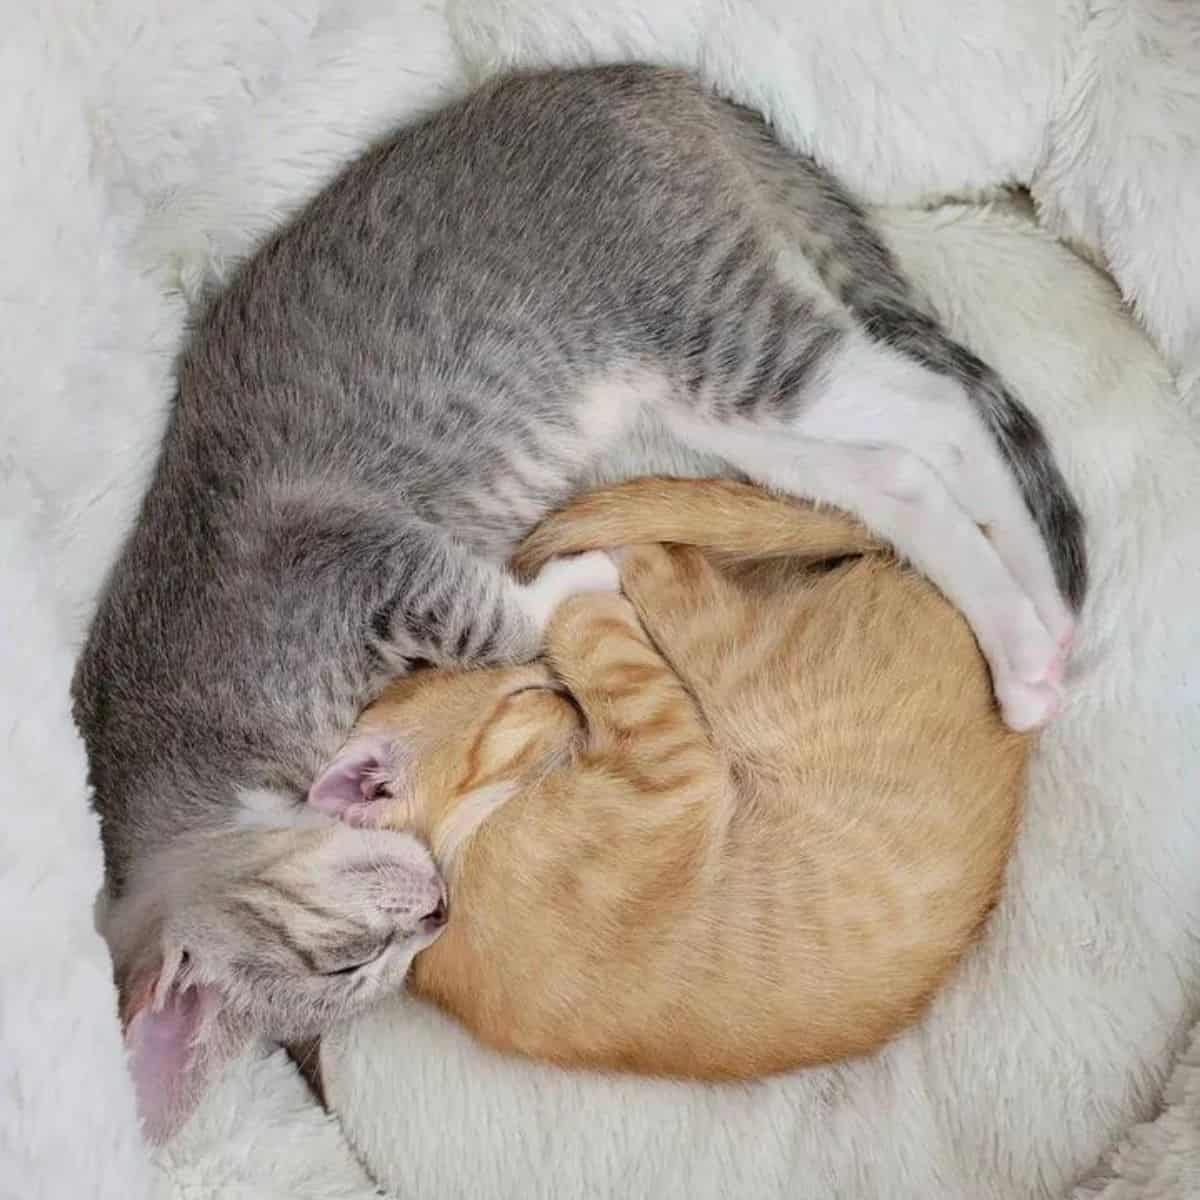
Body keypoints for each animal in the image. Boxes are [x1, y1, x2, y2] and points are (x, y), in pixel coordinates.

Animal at [340, 477, 1032, 1080]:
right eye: (526, 693)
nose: (563, 691)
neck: (465, 841)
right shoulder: (668, 760)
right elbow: (588, 622)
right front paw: (572, 586)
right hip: (734, 658)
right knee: (670, 559)